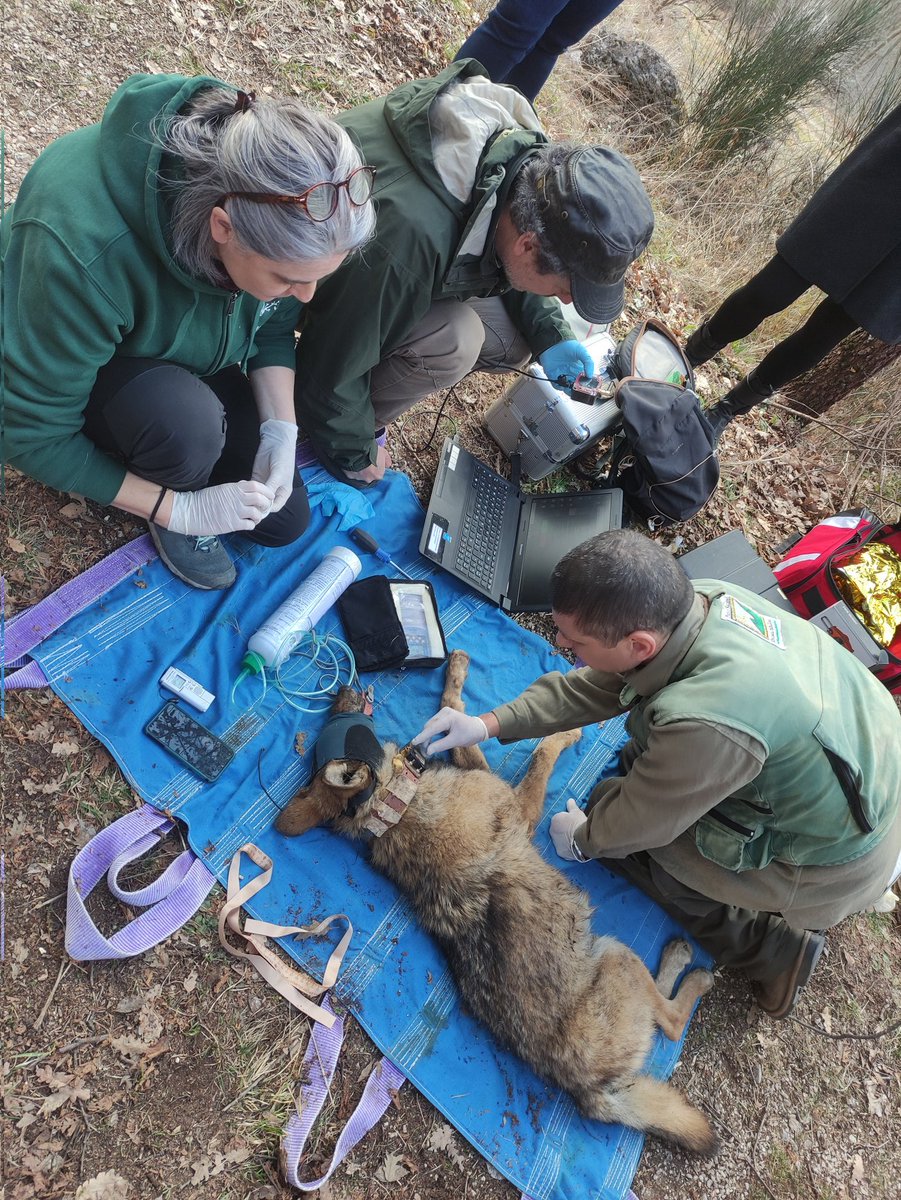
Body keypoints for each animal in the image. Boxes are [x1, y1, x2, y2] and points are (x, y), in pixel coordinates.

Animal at [276, 650, 717, 1154]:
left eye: (337, 719)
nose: (340, 688)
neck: (392, 809)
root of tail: (590, 1091)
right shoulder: (522, 809)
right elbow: (543, 752)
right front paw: (568, 734)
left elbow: (457, 713)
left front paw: (455, 677)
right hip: (617, 957)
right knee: (671, 1018)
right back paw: (686, 966)